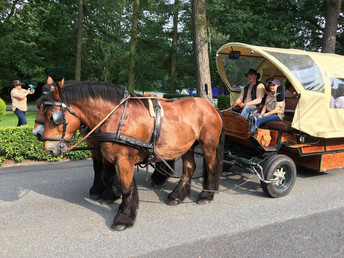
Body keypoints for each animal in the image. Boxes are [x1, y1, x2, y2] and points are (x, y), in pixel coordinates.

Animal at [39, 79, 224, 231]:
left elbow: (127, 188)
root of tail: (211, 107)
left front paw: (124, 217)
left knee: (211, 166)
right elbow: (107, 173)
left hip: (208, 145)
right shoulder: (106, 153)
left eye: (52, 117)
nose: (48, 148)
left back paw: (206, 194)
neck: (116, 117)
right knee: (189, 168)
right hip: (187, 146)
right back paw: (177, 195)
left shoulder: (123, 160)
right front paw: (109, 195)